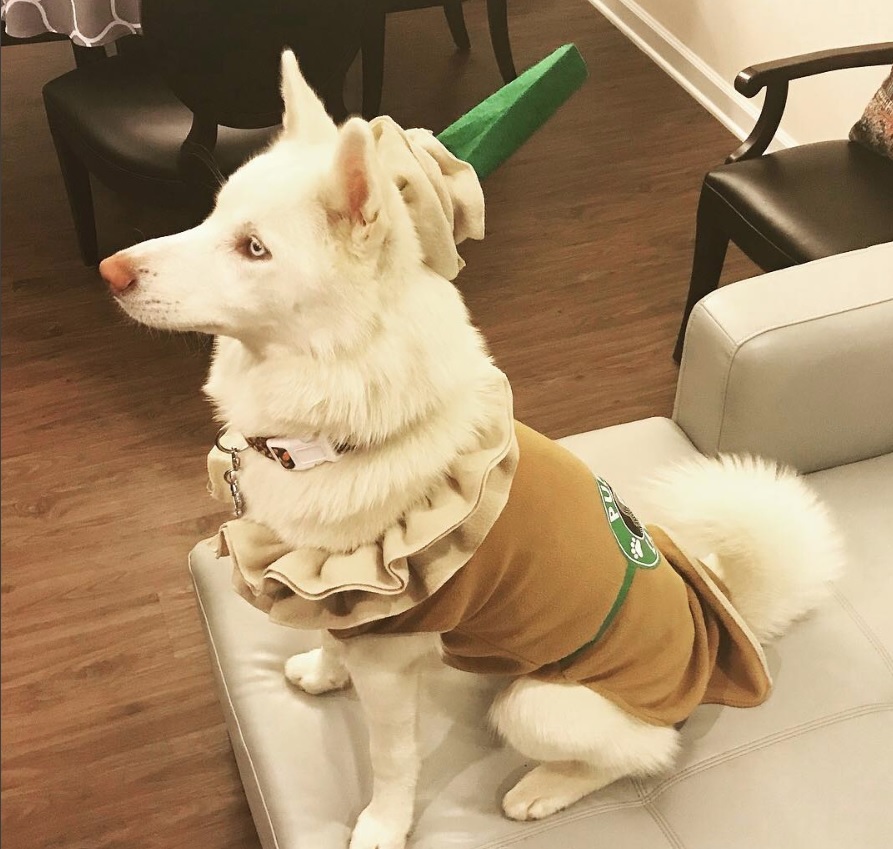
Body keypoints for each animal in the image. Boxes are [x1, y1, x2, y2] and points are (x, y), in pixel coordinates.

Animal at [99, 51, 844, 848]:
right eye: (210, 214)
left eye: (254, 248)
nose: (109, 271)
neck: (337, 417)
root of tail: (718, 617)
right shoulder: (340, 595)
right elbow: (330, 634)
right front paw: (324, 671)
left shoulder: (387, 657)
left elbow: (392, 759)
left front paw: (383, 824)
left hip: (536, 705)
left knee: (646, 754)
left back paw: (545, 789)